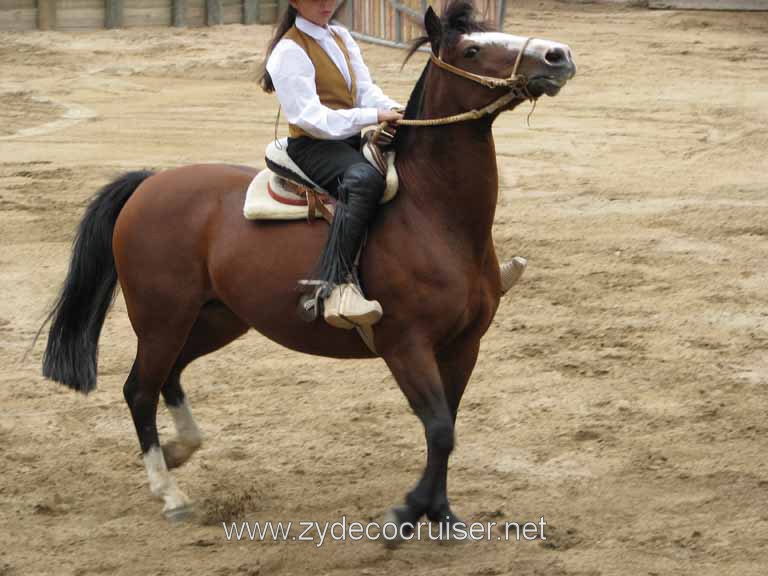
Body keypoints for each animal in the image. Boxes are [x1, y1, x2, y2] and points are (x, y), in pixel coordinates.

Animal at [39, 2, 572, 536]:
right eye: (472, 50)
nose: (558, 55)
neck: (432, 214)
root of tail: (149, 184)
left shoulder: (464, 345)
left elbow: (448, 429)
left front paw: (440, 513)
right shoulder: (406, 345)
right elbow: (440, 430)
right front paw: (407, 513)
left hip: (216, 318)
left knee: (169, 377)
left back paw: (179, 451)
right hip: (161, 320)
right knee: (139, 389)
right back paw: (169, 492)